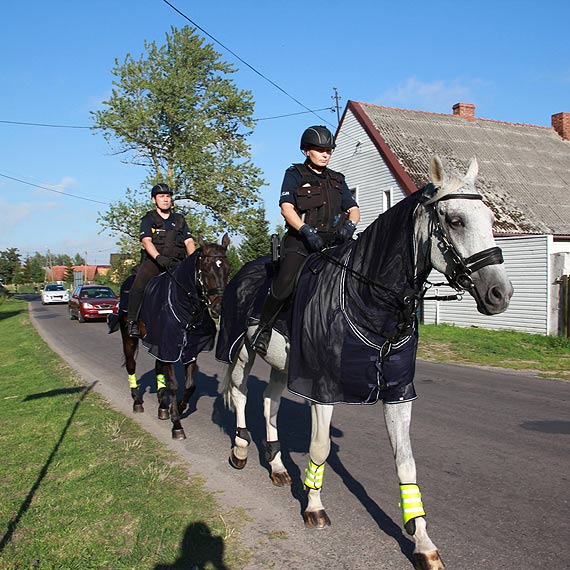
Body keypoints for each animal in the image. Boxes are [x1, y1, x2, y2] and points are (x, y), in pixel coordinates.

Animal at [114, 233, 230, 438]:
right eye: (206, 270)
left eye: (228, 269)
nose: (218, 307)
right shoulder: (168, 345)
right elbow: (174, 385)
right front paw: (176, 424)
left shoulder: (189, 348)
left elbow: (190, 385)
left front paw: (180, 408)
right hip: (129, 338)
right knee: (130, 364)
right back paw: (137, 401)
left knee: (158, 367)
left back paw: (162, 406)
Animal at [216, 156, 510, 568]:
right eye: (454, 220)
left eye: (490, 218)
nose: (500, 293)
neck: (368, 297)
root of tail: (242, 271)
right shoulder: (322, 389)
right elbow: (320, 448)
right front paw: (314, 507)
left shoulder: (399, 393)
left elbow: (406, 462)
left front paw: (422, 542)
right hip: (240, 349)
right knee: (241, 392)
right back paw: (241, 450)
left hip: (281, 365)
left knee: (269, 403)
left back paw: (275, 466)